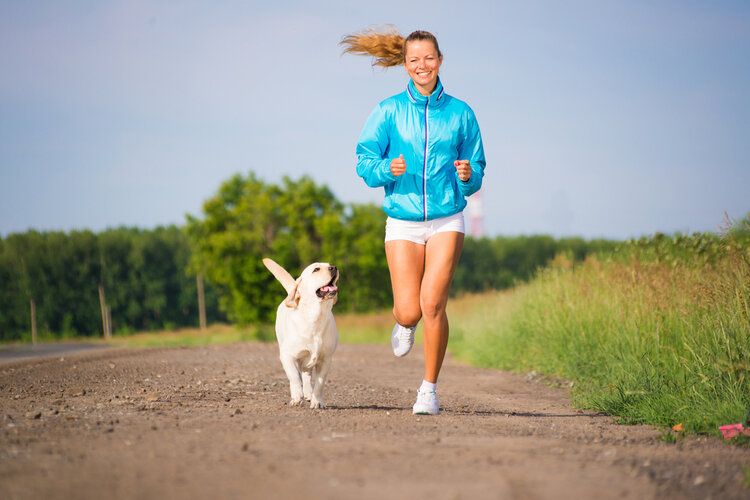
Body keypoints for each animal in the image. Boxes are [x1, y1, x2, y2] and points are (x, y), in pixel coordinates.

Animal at [262, 260, 338, 408]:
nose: (334, 268)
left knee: (306, 374)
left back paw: (309, 394)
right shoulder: (287, 355)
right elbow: (294, 377)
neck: (316, 317)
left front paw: (317, 402)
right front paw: (297, 397)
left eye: (329, 265)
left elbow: (319, 383)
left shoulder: (326, 359)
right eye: (316, 269)